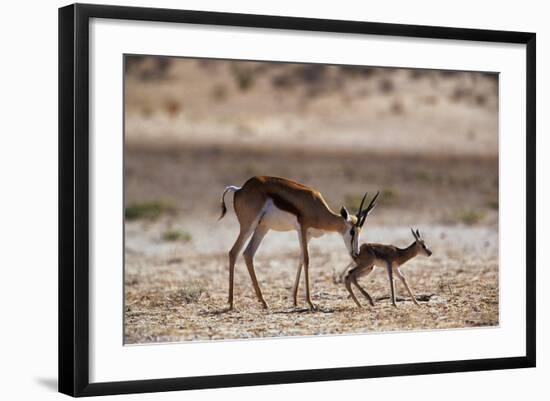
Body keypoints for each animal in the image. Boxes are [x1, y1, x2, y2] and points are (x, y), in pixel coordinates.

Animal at [220, 175, 380, 310]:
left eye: (360, 232)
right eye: (352, 231)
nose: (356, 252)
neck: (316, 207)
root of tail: (240, 189)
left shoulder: (307, 235)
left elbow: (301, 259)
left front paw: (295, 300)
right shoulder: (303, 229)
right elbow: (307, 259)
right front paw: (310, 303)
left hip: (262, 228)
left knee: (248, 254)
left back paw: (263, 302)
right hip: (249, 226)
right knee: (233, 252)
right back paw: (231, 303)